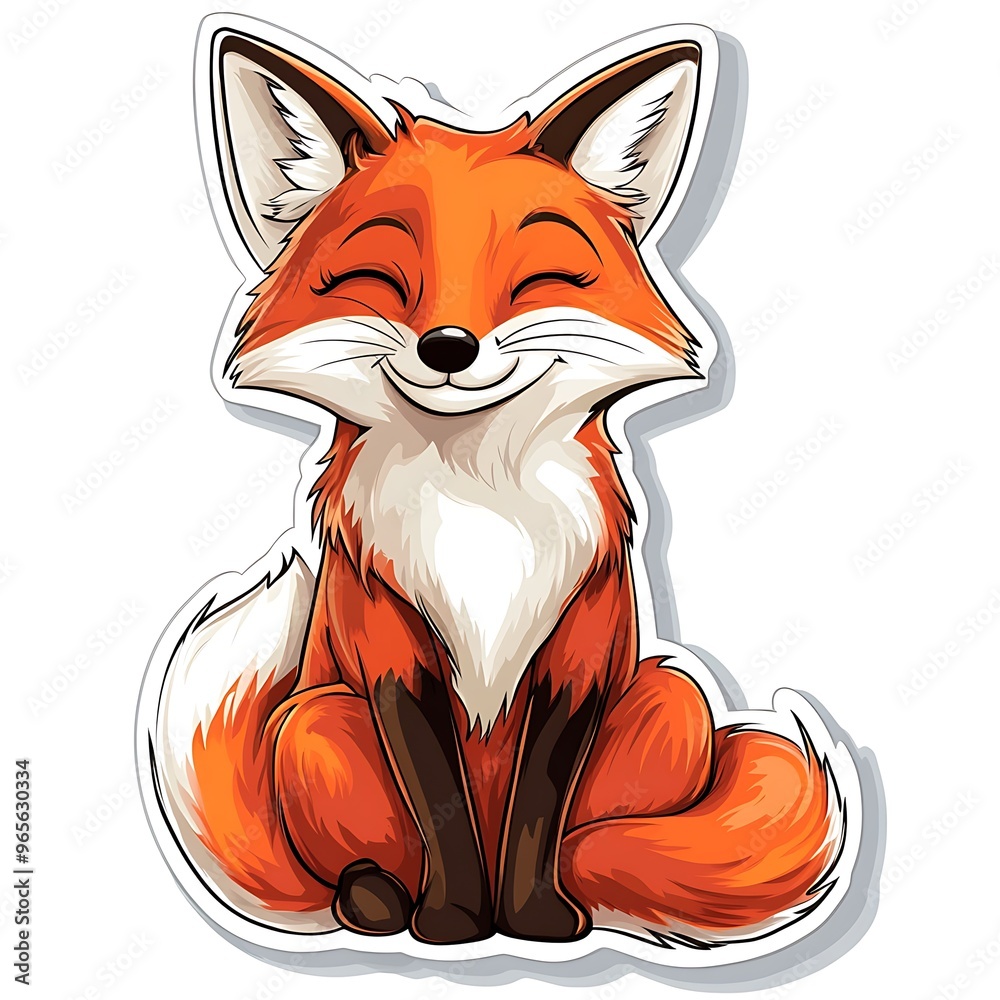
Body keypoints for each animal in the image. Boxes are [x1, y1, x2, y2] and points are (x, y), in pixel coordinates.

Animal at [138, 16, 860, 958]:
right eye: (380, 278)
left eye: (537, 278)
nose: (448, 346)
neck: (477, 504)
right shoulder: (393, 657)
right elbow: (440, 805)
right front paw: (453, 923)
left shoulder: (579, 655)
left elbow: (537, 813)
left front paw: (533, 919)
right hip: (316, 722)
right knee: (362, 870)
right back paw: (378, 903)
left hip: (669, 697)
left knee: (590, 840)